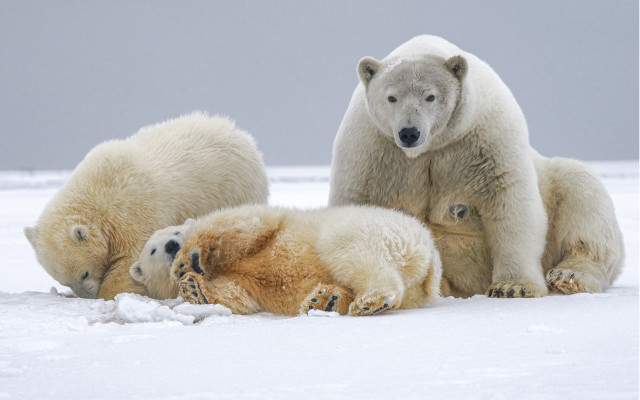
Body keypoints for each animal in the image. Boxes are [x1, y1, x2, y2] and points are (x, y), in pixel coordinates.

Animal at [25, 112, 269, 300]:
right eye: (63, 280)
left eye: (84, 274)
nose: (88, 296)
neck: (96, 193)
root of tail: (242, 136)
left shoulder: (131, 211)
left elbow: (131, 259)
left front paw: (112, 294)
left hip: (235, 188)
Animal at [130, 205, 442, 316]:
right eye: (153, 250)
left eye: (176, 233)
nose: (172, 245)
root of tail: (429, 249)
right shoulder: (240, 280)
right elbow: (238, 293)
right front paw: (195, 289)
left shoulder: (269, 225)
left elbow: (242, 225)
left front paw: (190, 259)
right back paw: (325, 300)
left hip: (368, 231)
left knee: (352, 254)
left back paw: (370, 301)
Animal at [329, 35, 624, 298]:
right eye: (391, 97)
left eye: (430, 96)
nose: (409, 132)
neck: (431, 147)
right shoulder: (372, 151)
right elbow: (356, 208)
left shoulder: (485, 139)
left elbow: (510, 202)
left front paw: (512, 287)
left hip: (558, 185)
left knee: (583, 199)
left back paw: (568, 275)